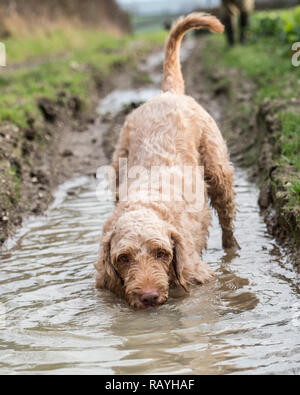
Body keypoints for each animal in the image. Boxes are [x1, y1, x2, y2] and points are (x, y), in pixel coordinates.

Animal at [95, 11, 240, 310]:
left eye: (161, 253)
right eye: (123, 258)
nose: (149, 296)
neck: (146, 202)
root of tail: (168, 93)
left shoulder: (196, 273)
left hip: (217, 167)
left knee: (227, 217)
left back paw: (232, 249)